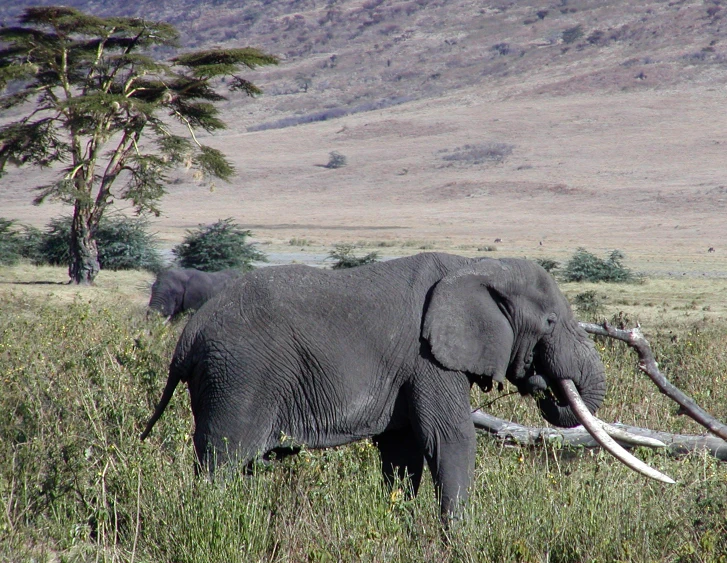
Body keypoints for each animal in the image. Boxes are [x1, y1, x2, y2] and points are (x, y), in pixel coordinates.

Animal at [144, 253, 676, 524]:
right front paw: (459, 539)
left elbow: (401, 453)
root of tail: (187, 339)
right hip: (238, 376)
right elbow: (449, 438)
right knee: (222, 464)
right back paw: (213, 524)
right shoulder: (428, 358)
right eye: (548, 322)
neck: (478, 265)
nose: (548, 382)